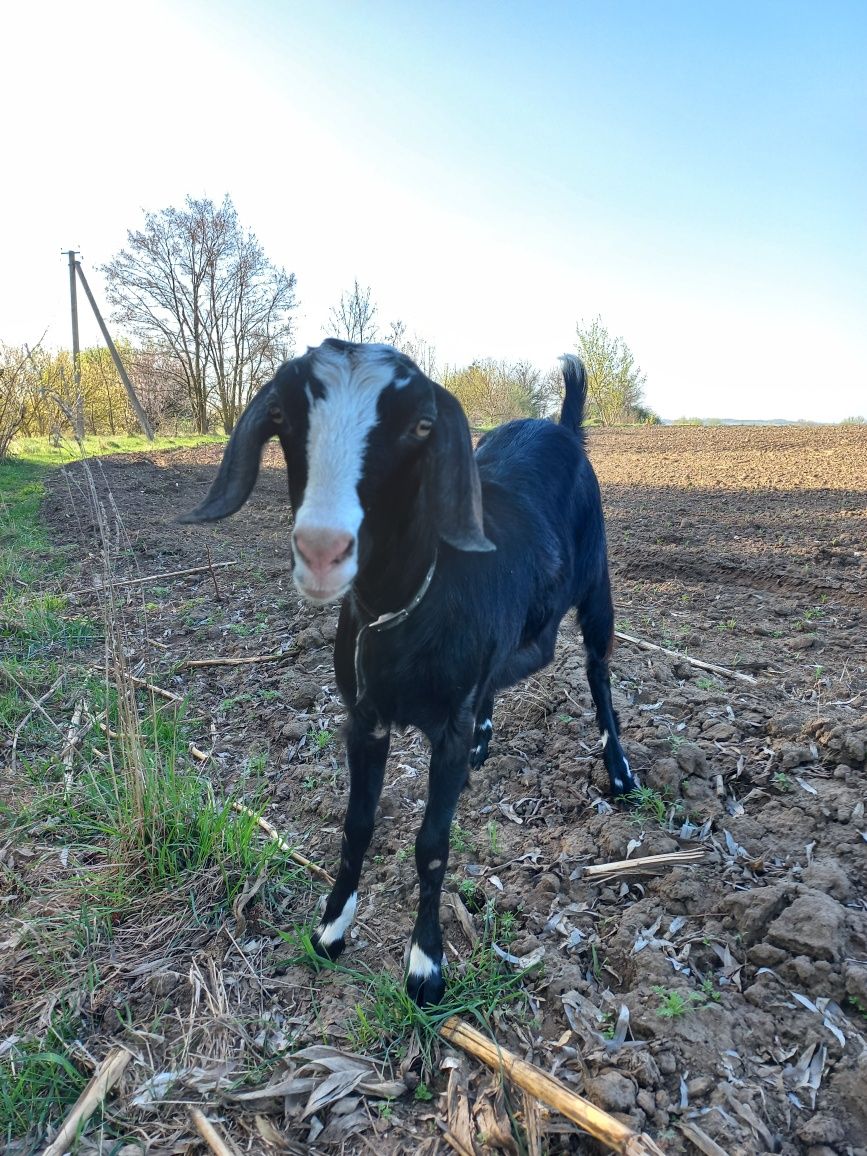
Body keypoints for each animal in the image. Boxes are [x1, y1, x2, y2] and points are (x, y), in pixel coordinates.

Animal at [180, 337, 638, 1008]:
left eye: (422, 425)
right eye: (282, 416)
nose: (322, 551)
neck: (403, 609)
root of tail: (562, 426)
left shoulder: (442, 727)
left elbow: (431, 844)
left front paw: (425, 964)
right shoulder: (364, 717)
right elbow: (356, 824)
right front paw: (331, 927)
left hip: (598, 583)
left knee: (596, 667)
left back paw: (620, 770)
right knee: (522, 661)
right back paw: (487, 738)